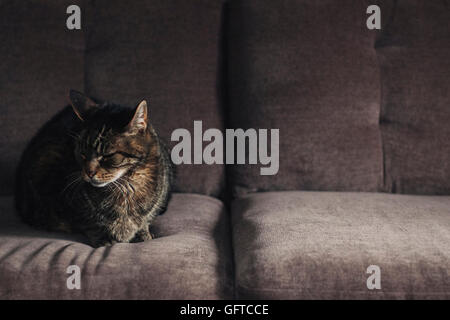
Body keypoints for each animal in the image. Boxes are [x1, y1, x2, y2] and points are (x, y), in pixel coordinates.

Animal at [14, 90, 173, 248]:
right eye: (82, 153)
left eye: (108, 155)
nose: (89, 172)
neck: (126, 186)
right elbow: (89, 222)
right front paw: (104, 238)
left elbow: (145, 220)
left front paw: (143, 233)